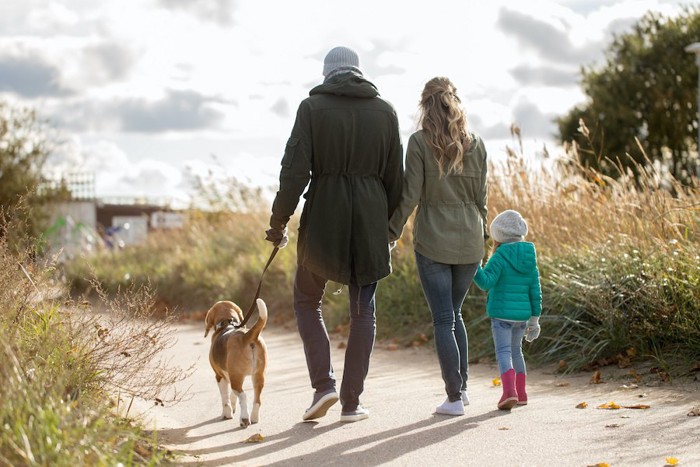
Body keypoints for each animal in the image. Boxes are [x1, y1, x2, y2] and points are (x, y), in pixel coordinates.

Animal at [205, 300, 268, 428]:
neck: (227, 324)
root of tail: (248, 335)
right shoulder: (233, 376)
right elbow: (232, 396)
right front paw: (232, 408)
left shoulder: (219, 376)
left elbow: (225, 398)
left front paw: (227, 414)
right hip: (258, 376)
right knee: (257, 400)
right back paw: (254, 417)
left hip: (236, 379)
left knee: (243, 396)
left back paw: (244, 419)